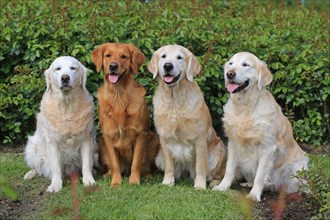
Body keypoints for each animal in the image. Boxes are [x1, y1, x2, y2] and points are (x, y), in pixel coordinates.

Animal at [23, 56, 96, 192]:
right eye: (58, 68)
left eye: (73, 68)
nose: (65, 78)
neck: (67, 106)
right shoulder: (52, 142)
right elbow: (55, 167)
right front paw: (55, 185)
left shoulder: (86, 139)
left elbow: (86, 164)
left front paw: (89, 180)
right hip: (32, 148)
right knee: (38, 167)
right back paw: (29, 174)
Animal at [91, 42, 160, 186]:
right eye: (108, 55)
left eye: (124, 57)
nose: (113, 65)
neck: (119, 95)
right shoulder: (108, 135)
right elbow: (114, 163)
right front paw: (116, 182)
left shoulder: (141, 134)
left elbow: (136, 162)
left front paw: (134, 181)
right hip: (101, 146)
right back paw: (108, 174)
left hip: (154, 140)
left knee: (146, 166)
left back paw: (147, 175)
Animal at [148, 45, 227, 189]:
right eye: (163, 56)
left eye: (179, 57)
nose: (168, 66)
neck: (175, 98)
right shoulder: (164, 138)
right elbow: (169, 166)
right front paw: (167, 182)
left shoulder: (200, 139)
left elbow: (200, 166)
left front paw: (200, 185)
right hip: (158, 158)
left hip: (218, 150)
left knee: (216, 174)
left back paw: (214, 183)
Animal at [213, 51, 308, 201]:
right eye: (230, 64)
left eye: (246, 64)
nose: (230, 74)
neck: (245, 106)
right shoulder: (233, 143)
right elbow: (229, 169)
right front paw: (223, 187)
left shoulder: (267, 148)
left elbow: (260, 175)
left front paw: (254, 195)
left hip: (298, 165)